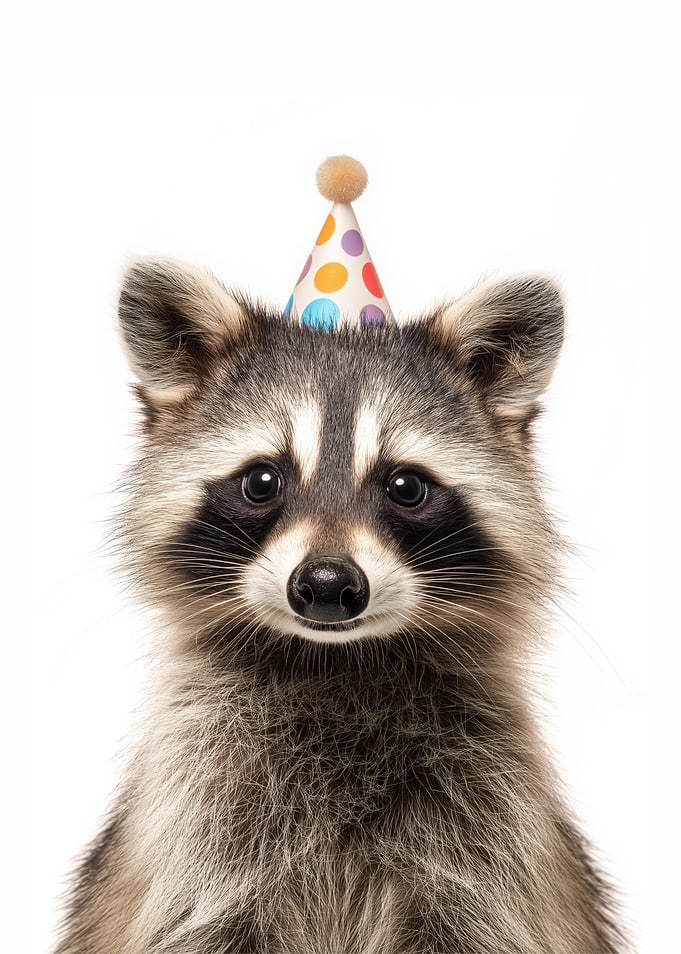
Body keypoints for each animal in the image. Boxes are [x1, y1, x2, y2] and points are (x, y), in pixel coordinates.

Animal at [56, 260, 625, 953]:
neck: (337, 661)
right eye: (261, 481)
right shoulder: (197, 818)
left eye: (405, 486)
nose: (327, 585)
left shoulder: (490, 831)